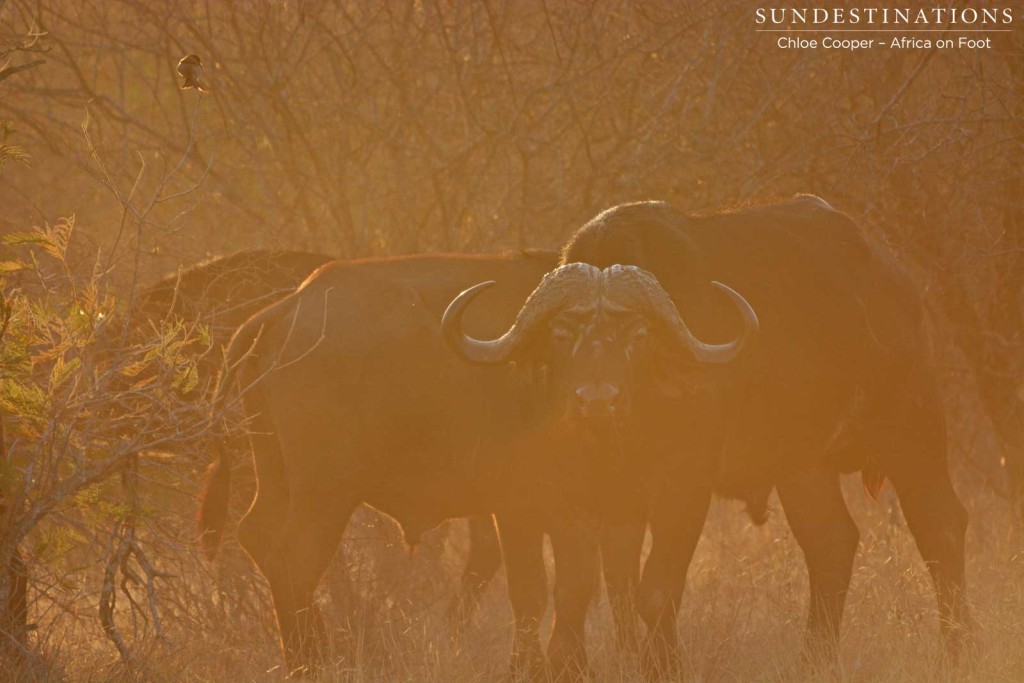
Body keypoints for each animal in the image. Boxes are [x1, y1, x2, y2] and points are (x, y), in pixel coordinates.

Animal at [450, 194, 974, 675]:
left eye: (637, 334)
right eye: (562, 333)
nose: (597, 399)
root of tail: (896, 282)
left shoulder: (686, 484)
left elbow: (656, 588)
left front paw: (664, 665)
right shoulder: (592, 497)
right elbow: (593, 588)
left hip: (912, 427)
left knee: (940, 525)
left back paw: (954, 650)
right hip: (803, 465)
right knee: (831, 542)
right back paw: (813, 660)